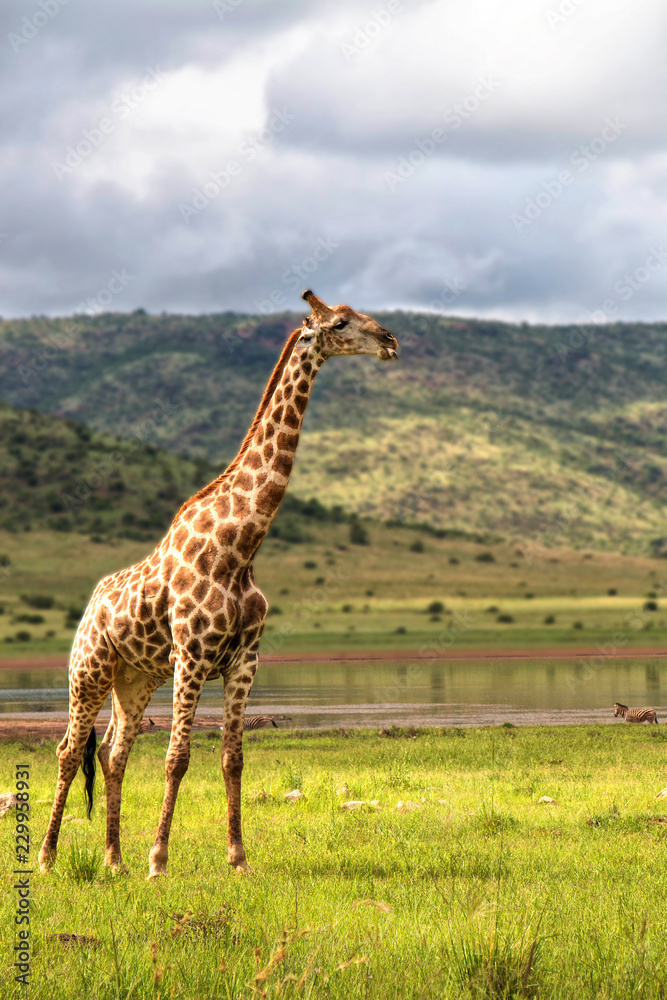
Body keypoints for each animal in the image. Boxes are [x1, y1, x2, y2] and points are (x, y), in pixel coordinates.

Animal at [38, 290, 399, 879]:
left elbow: (232, 757)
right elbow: (178, 757)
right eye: (341, 322)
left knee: (114, 751)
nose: (391, 341)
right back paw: (48, 858)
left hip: (134, 678)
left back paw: (114, 861)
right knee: (70, 750)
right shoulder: (192, 655)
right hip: (88, 669)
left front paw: (238, 859)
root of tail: (90, 608)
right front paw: (159, 861)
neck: (240, 546)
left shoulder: (244, 660)